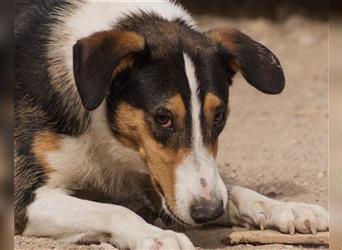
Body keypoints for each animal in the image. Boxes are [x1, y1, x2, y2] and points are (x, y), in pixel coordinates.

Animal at [15, 0, 328, 249]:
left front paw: (287, 208)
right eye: (162, 118)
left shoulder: (160, 179)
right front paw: (157, 235)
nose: (209, 212)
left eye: (219, 116)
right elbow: (114, 210)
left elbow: (233, 190)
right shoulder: (24, 198)